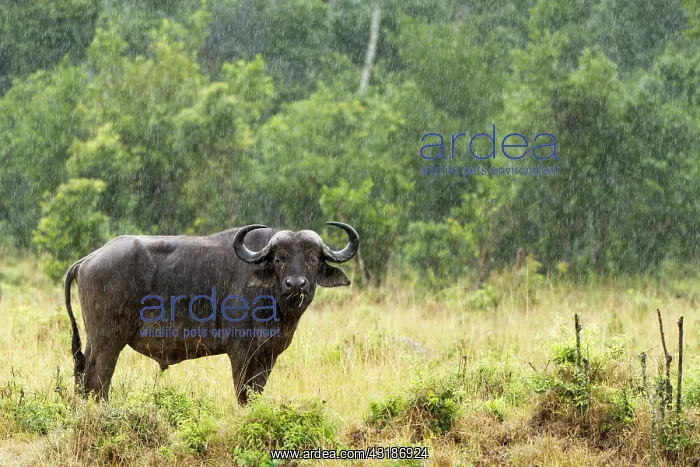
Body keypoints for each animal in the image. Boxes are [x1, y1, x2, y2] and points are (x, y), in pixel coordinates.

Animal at [64, 222, 359, 403]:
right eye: (279, 258)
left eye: (313, 258)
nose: (296, 284)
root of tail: (88, 259)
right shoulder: (240, 352)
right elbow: (244, 394)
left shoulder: (268, 355)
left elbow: (257, 391)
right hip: (108, 340)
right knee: (98, 380)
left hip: (93, 340)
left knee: (82, 376)